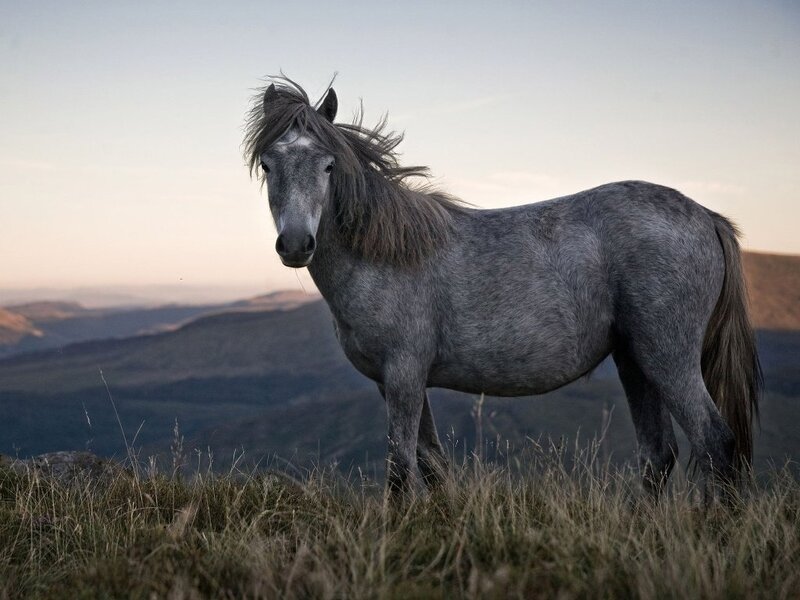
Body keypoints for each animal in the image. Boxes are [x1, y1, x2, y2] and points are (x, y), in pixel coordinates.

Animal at [243, 77, 761, 498]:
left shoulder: (404, 374)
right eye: (268, 164)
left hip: (668, 357)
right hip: (635, 360)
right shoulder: (394, 382)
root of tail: (707, 217)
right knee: (659, 455)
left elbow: (401, 470)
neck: (386, 255)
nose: (296, 243)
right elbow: (432, 465)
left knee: (714, 442)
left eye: (328, 165)